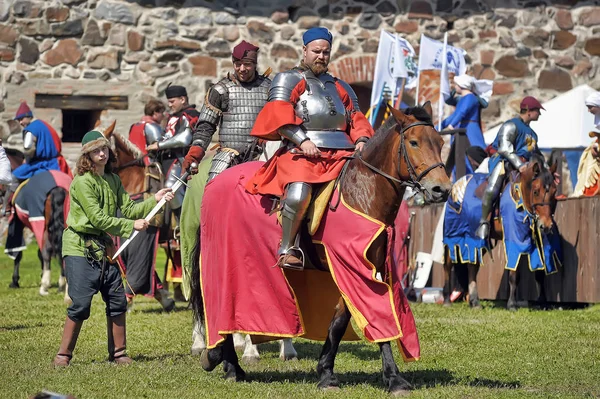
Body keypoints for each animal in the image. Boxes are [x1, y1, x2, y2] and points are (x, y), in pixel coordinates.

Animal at [189, 104, 450, 396]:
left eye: (440, 143)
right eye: (413, 142)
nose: (441, 189)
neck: (362, 193)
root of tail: (214, 184)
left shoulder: (361, 269)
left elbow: (341, 321)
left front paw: (328, 372)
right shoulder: (351, 266)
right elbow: (373, 311)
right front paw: (392, 378)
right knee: (220, 306)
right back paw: (225, 361)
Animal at [440, 154, 556, 312]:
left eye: (554, 192)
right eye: (536, 191)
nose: (546, 225)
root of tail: (455, 186)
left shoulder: (537, 238)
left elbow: (539, 273)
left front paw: (543, 302)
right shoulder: (514, 238)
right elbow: (514, 275)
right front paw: (512, 304)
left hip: (477, 239)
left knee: (472, 267)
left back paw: (474, 301)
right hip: (452, 235)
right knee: (447, 264)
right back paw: (447, 299)